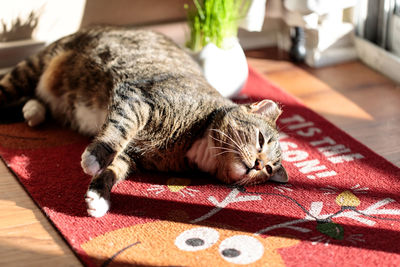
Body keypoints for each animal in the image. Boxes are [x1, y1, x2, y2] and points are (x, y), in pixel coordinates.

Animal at [0, 26, 288, 218]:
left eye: (268, 170)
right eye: (260, 140)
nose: (258, 165)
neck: (196, 146)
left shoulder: (132, 156)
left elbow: (113, 169)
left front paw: (98, 197)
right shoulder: (137, 100)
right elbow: (118, 130)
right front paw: (94, 158)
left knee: (37, 99)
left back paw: (34, 111)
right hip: (33, 67)